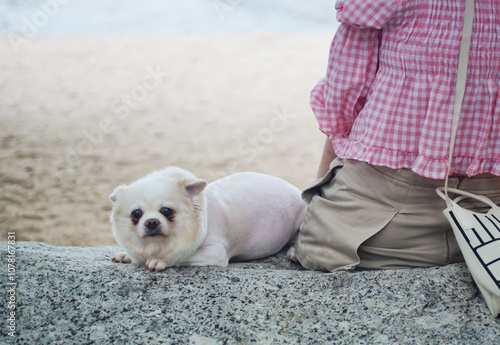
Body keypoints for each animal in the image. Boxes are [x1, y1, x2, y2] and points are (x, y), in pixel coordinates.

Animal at [109, 167, 304, 272]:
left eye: (167, 211)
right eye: (136, 214)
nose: (151, 221)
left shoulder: (216, 252)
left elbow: (184, 255)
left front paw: (162, 260)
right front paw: (126, 255)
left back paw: (294, 252)